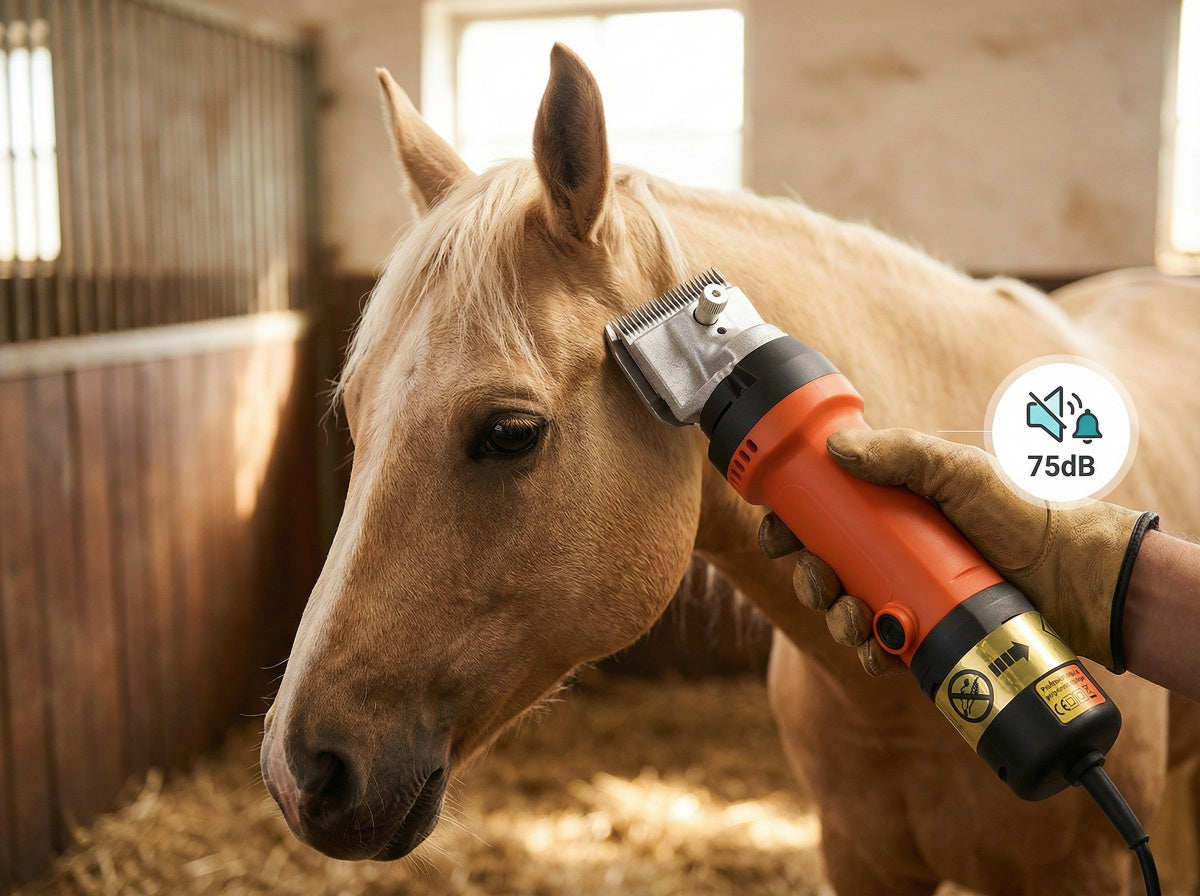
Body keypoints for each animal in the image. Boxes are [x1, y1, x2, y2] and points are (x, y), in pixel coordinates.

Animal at [261, 44, 1200, 894]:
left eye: (510, 432)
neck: (895, 717)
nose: (299, 773)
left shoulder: (1088, 873)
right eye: (354, 415)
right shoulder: (859, 857)